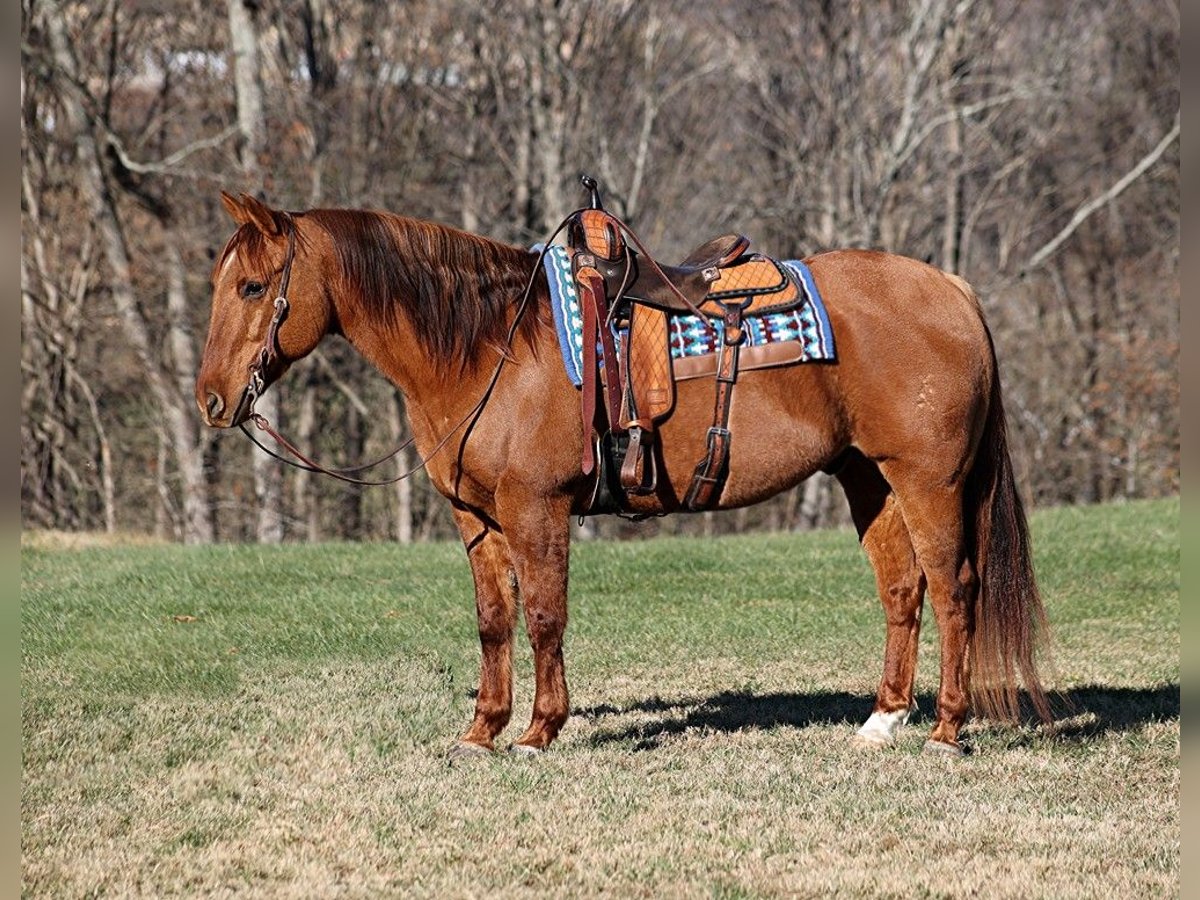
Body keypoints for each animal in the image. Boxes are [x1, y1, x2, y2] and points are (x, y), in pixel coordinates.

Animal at [196, 192, 1051, 763]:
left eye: (251, 287)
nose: (211, 399)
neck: (488, 347)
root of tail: (953, 290)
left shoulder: (536, 509)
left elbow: (544, 616)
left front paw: (539, 730)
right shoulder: (477, 519)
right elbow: (494, 621)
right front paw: (481, 729)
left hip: (929, 481)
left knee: (955, 589)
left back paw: (946, 728)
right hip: (867, 477)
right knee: (903, 590)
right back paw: (882, 719)